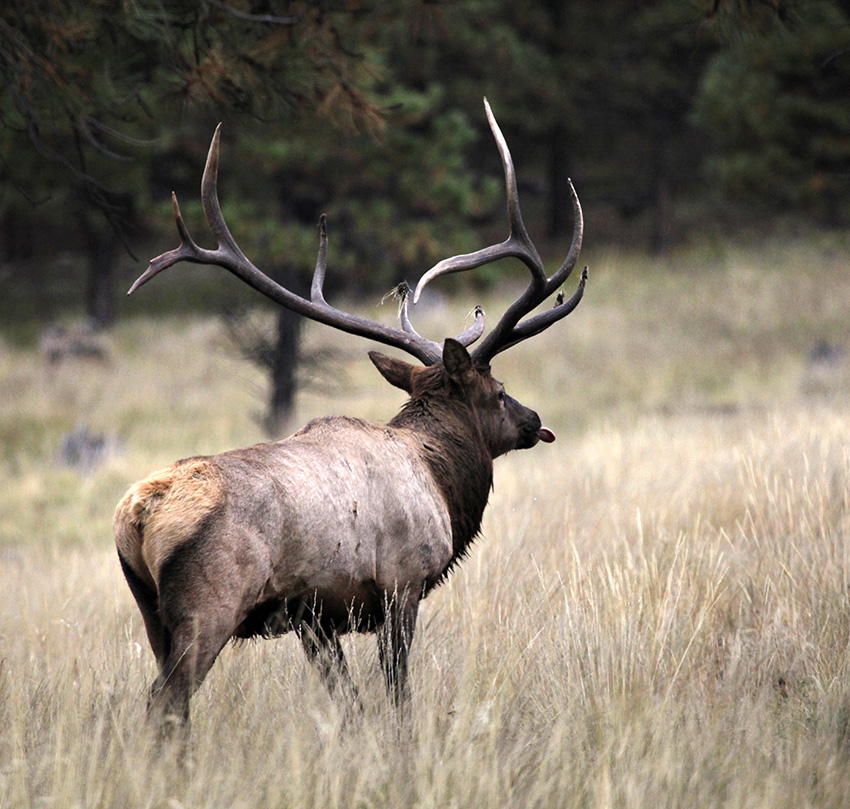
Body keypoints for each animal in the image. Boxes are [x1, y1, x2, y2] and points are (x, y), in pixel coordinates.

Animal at [116, 99, 588, 724]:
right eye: (497, 388)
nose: (533, 420)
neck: (443, 484)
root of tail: (139, 512)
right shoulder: (402, 584)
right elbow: (397, 696)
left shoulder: (312, 620)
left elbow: (349, 703)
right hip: (209, 603)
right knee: (166, 701)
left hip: (151, 613)